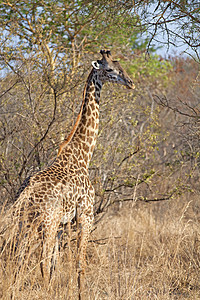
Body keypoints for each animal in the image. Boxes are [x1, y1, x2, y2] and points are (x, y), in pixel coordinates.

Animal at [13, 50, 135, 294]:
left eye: (121, 66)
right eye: (109, 69)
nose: (130, 82)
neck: (83, 154)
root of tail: (24, 196)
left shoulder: (63, 223)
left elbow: (56, 264)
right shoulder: (85, 215)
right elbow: (79, 263)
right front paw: (80, 293)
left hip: (27, 224)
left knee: (21, 258)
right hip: (46, 223)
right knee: (39, 260)